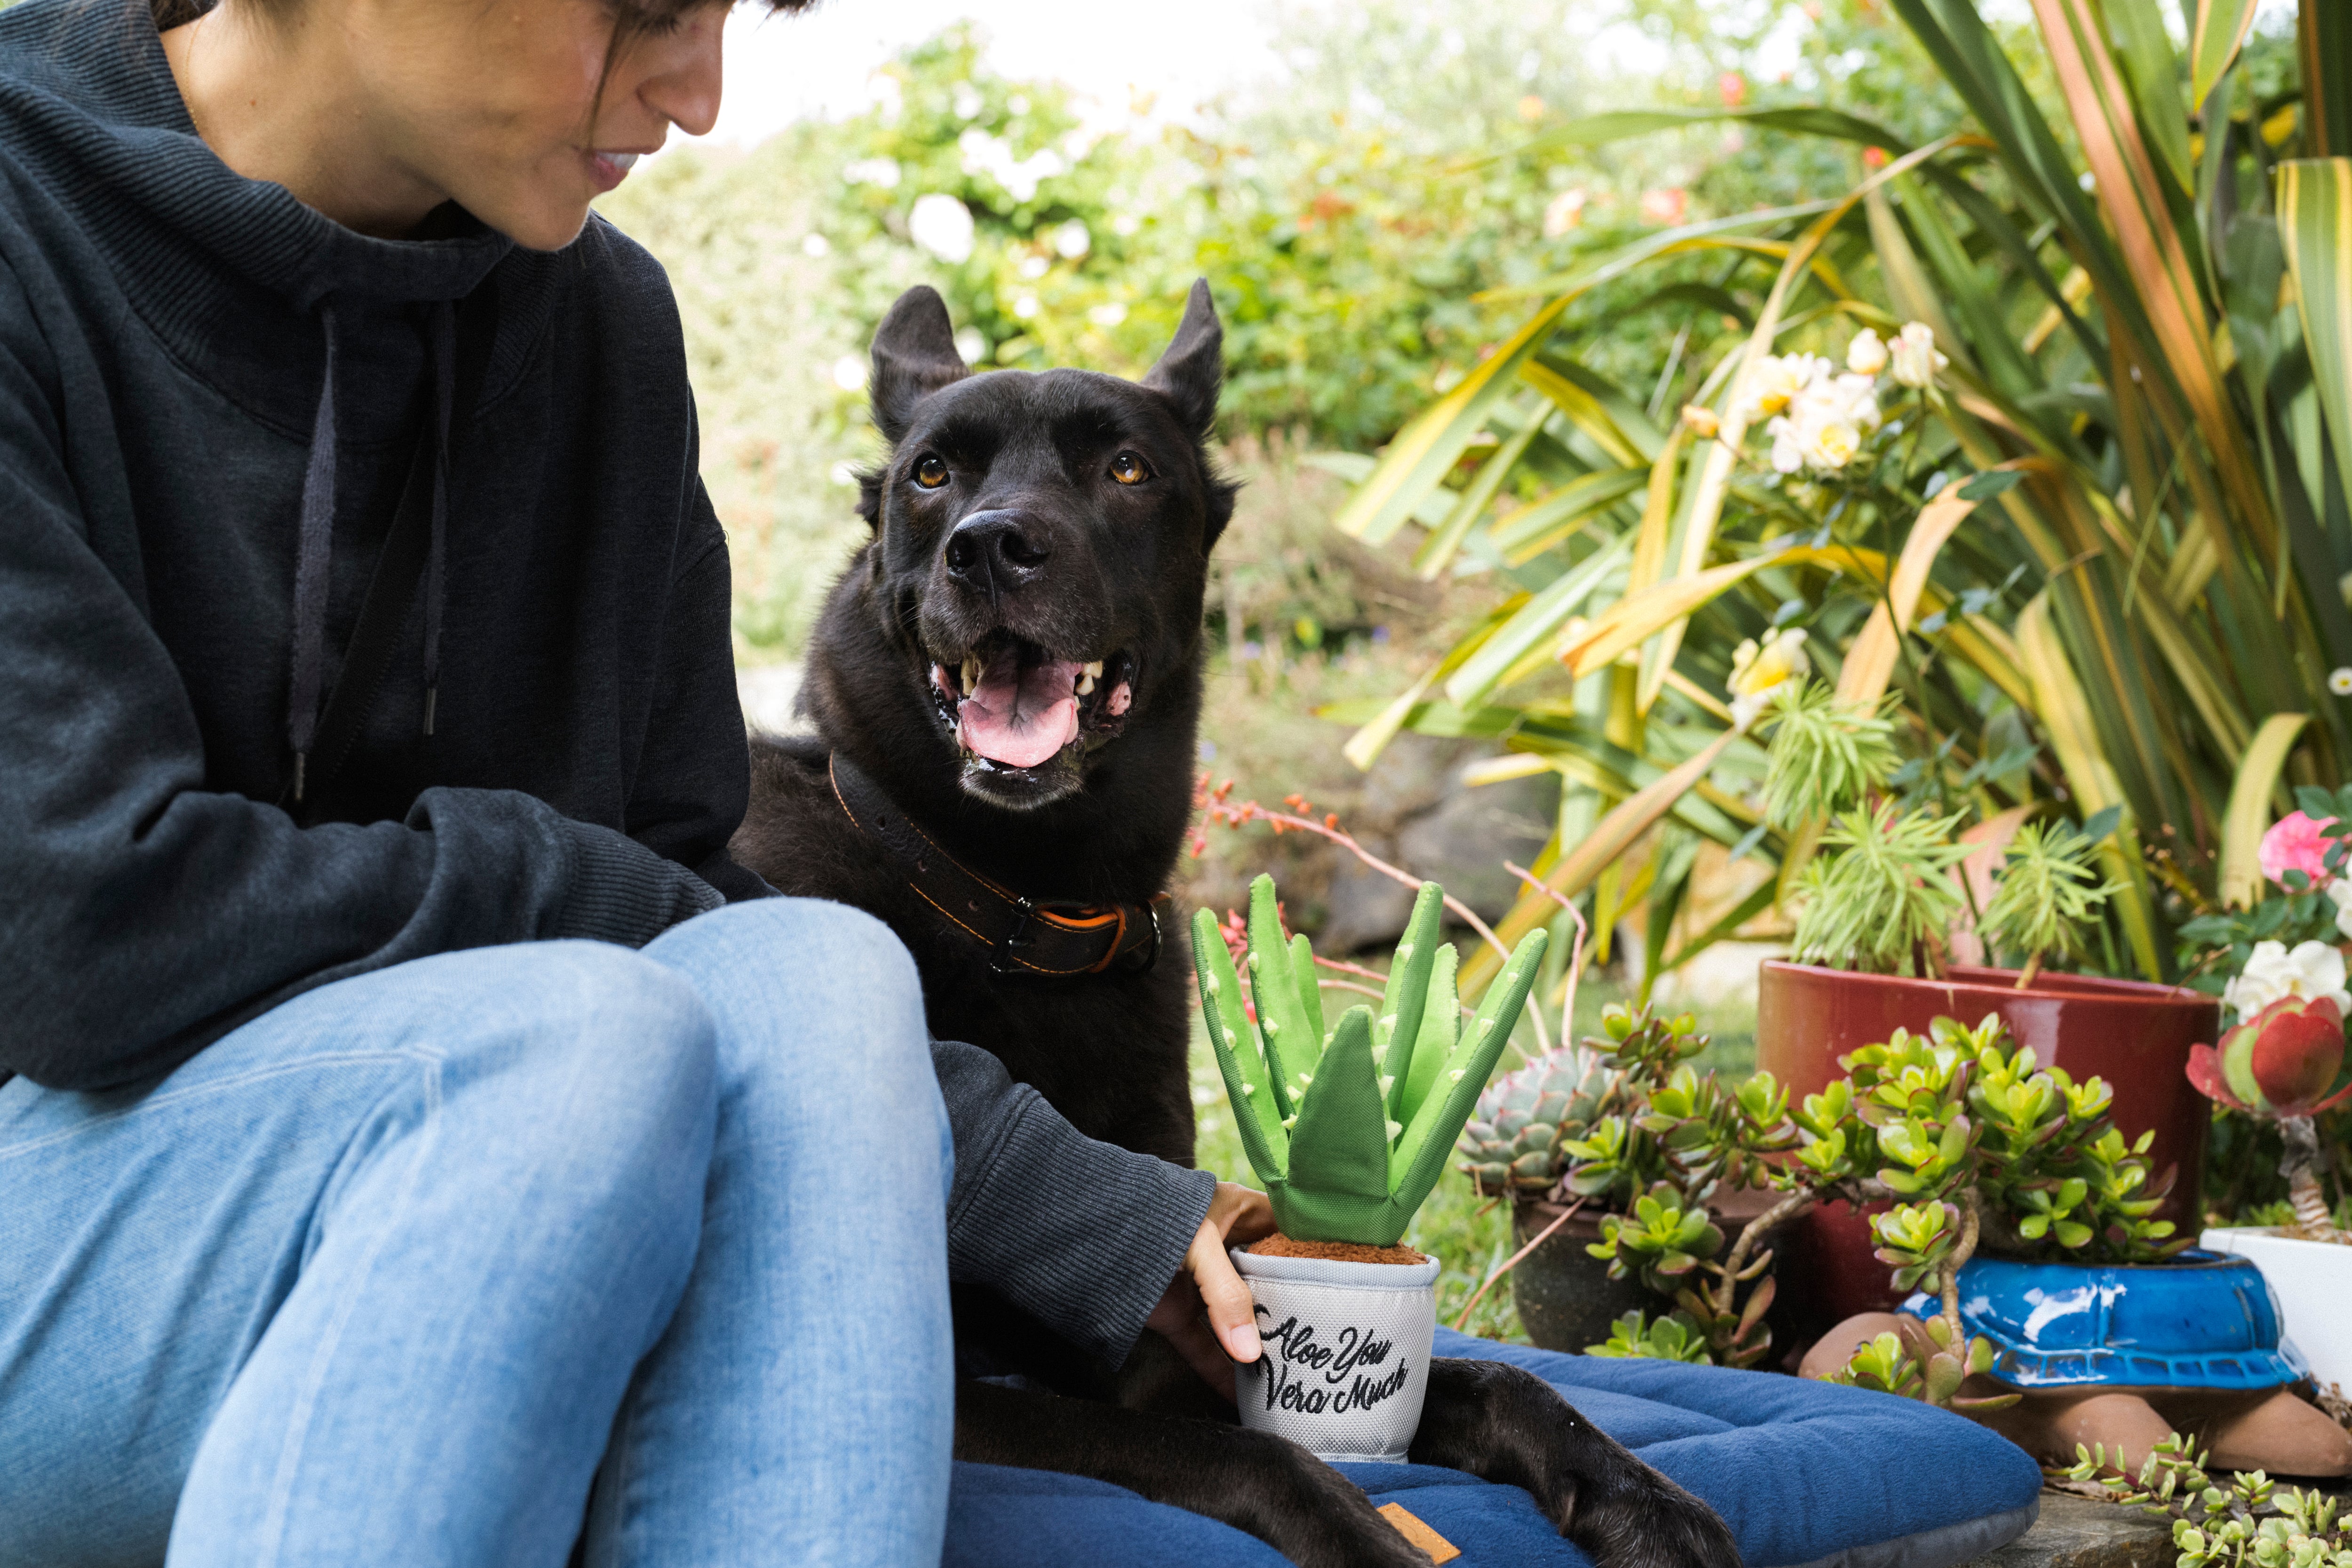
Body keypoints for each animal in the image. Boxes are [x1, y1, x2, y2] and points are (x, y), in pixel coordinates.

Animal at [724, 282, 1740, 1568]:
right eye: (930, 475)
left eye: (1124, 467)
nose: (989, 547)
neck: (1014, 906)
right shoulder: (999, 1389)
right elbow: (1255, 1452)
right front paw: (1371, 1541)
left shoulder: (1176, 1315)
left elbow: (1495, 1382)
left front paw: (1642, 1496)